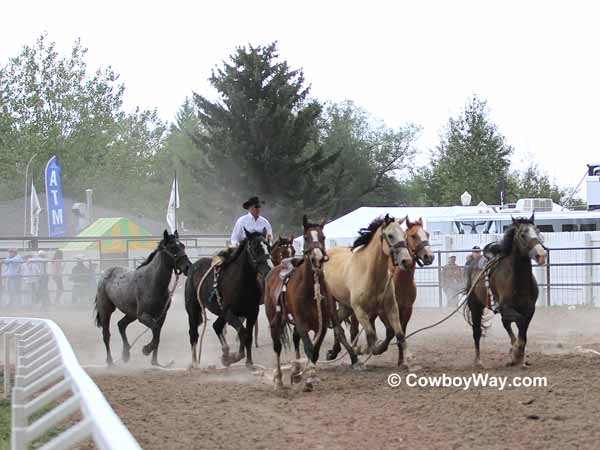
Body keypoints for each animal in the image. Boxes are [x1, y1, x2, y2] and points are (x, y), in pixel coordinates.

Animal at [94, 232, 190, 366]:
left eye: (182, 246)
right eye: (172, 247)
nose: (187, 267)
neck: (152, 282)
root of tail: (105, 274)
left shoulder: (161, 316)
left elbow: (157, 335)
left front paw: (155, 362)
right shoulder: (143, 316)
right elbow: (155, 330)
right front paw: (146, 350)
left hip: (131, 314)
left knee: (121, 325)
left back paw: (126, 354)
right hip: (106, 310)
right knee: (106, 335)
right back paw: (110, 362)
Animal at [185, 229, 274, 370]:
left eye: (268, 247)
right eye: (255, 248)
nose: (269, 269)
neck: (242, 283)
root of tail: (193, 267)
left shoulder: (252, 313)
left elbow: (248, 335)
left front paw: (249, 362)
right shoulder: (229, 313)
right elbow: (242, 332)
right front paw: (236, 356)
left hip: (221, 314)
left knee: (217, 326)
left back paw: (225, 353)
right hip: (193, 310)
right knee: (193, 334)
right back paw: (195, 363)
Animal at [264, 217, 358, 390]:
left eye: (323, 237)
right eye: (306, 237)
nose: (317, 257)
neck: (310, 289)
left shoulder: (322, 324)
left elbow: (314, 349)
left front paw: (308, 375)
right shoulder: (301, 323)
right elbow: (308, 346)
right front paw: (308, 377)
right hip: (273, 318)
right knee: (277, 345)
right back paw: (279, 378)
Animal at [324, 214, 412, 358]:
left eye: (404, 235)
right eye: (390, 235)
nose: (407, 261)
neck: (371, 275)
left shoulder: (390, 307)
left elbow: (397, 333)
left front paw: (408, 357)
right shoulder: (359, 310)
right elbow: (371, 335)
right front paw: (367, 349)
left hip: (345, 305)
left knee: (338, 325)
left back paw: (335, 351)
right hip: (331, 303)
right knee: (338, 328)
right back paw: (349, 353)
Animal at [466, 215, 548, 370]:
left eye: (538, 230)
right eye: (522, 234)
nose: (541, 255)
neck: (518, 281)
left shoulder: (529, 310)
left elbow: (523, 333)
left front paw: (519, 358)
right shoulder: (505, 308)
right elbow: (520, 324)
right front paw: (515, 353)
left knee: (506, 323)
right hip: (475, 306)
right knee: (476, 332)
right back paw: (478, 361)